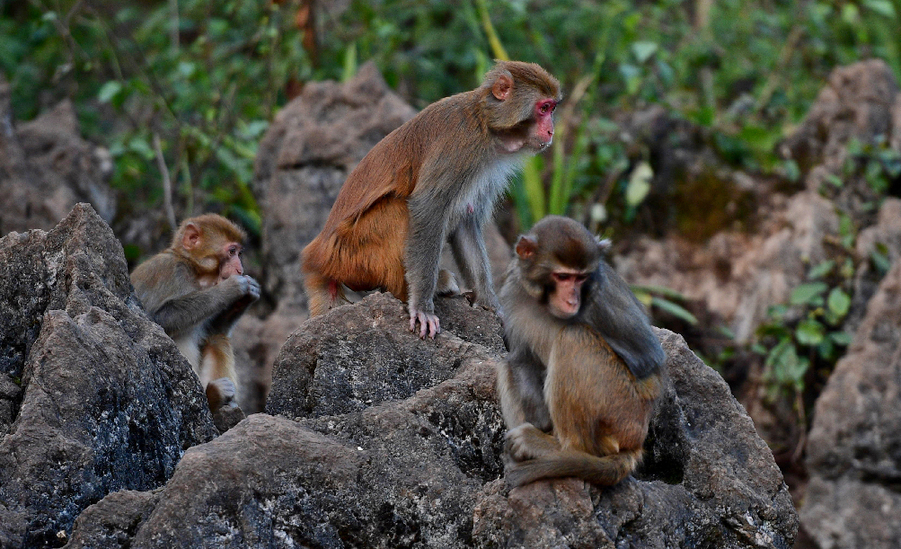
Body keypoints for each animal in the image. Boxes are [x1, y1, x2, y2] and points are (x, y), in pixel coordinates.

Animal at [129, 214, 260, 416]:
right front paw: (230, 289)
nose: (240, 269)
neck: (194, 272)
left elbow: (213, 330)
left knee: (216, 338)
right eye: (231, 252)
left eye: (239, 253)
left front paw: (246, 297)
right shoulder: (167, 271)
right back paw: (213, 396)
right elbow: (156, 319)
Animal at [300, 57, 556, 336]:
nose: (551, 131)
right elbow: (429, 207)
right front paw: (422, 306)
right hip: (351, 255)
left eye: (552, 108)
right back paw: (413, 289)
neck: (486, 124)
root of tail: (317, 258)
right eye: (543, 108)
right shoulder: (460, 146)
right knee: (400, 209)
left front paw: (489, 303)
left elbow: (466, 220)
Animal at [496, 216, 664, 486]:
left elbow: (649, 358)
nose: (572, 300)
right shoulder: (512, 290)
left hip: (623, 415)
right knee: (505, 364)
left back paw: (561, 449)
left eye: (581, 278)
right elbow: (521, 358)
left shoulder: (601, 298)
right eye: (563, 276)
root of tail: (636, 441)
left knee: (573, 337)